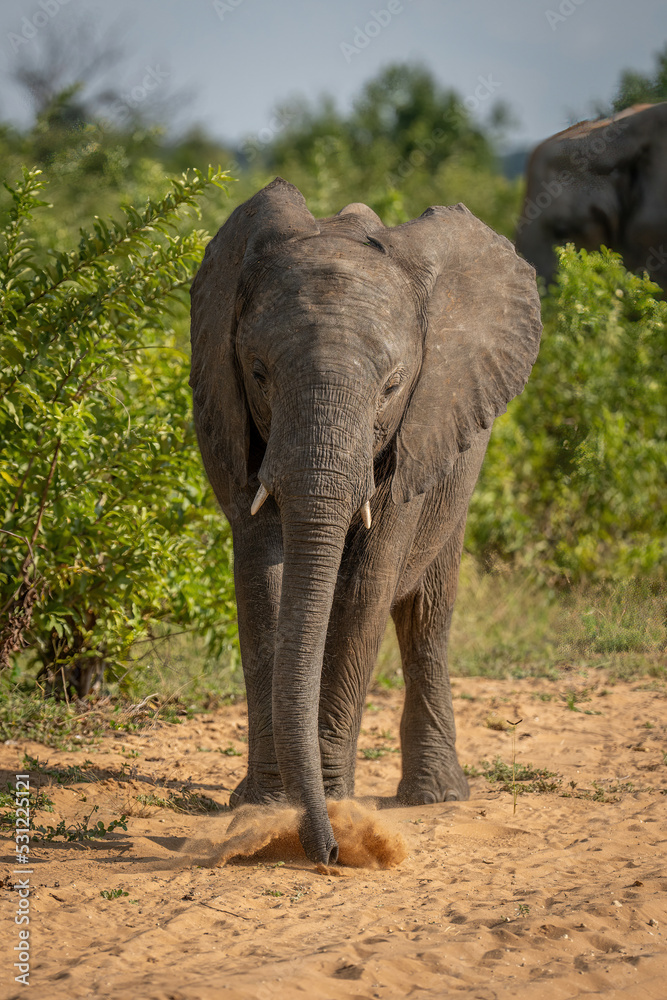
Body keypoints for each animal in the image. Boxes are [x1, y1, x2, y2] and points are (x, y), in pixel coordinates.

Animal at [190, 178, 542, 865]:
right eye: (258, 373)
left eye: (393, 387)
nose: (328, 853)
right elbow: (261, 582)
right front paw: (264, 805)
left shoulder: (417, 436)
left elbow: (362, 594)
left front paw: (329, 800)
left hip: (457, 475)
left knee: (427, 615)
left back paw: (434, 798)